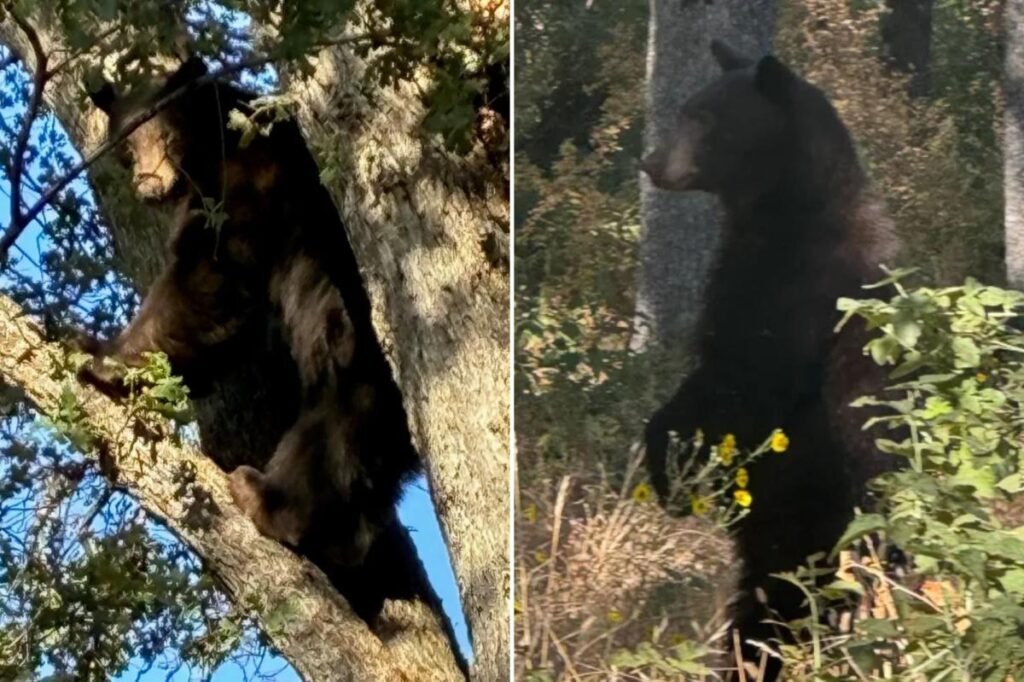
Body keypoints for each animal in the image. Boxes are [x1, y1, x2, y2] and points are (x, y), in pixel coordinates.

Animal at [82, 57, 466, 673]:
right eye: (125, 144)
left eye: (161, 134)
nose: (145, 182)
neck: (213, 146)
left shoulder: (250, 187)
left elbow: (209, 279)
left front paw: (105, 358)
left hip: (361, 337)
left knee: (339, 419)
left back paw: (268, 499)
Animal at [640, 40, 899, 676]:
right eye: (686, 108)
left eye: (703, 117)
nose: (652, 162)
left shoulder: (794, 299)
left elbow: (739, 383)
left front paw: (671, 471)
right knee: (767, 613)